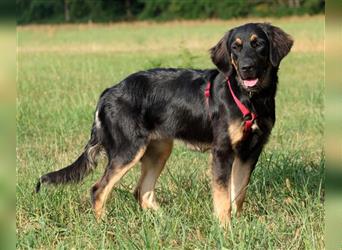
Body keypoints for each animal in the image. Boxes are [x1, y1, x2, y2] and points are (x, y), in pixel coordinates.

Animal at [37, 23, 294, 226]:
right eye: (235, 47)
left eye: (258, 44)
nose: (246, 68)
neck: (250, 99)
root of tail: (108, 93)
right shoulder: (222, 151)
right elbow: (222, 197)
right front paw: (225, 228)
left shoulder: (251, 151)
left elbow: (238, 193)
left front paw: (238, 224)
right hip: (128, 150)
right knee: (98, 190)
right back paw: (104, 225)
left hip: (158, 150)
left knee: (142, 192)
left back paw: (167, 220)